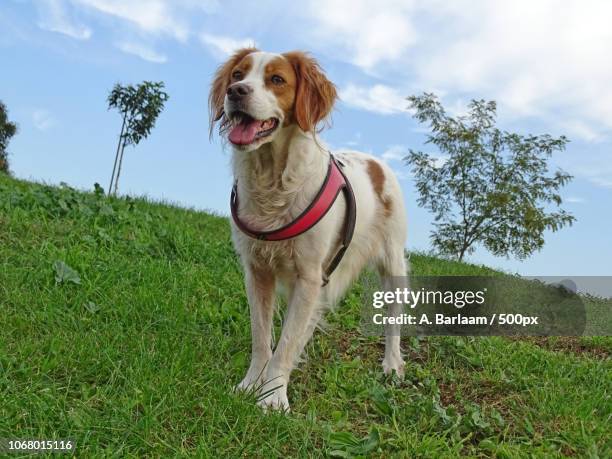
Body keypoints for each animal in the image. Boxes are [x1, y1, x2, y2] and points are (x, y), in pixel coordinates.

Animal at [208, 49, 408, 414]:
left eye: (277, 80)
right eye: (238, 75)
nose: (236, 92)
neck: (272, 178)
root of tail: (376, 162)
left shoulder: (309, 275)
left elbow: (286, 342)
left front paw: (273, 397)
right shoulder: (258, 271)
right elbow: (263, 338)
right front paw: (250, 385)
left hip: (392, 264)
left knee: (393, 319)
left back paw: (391, 364)